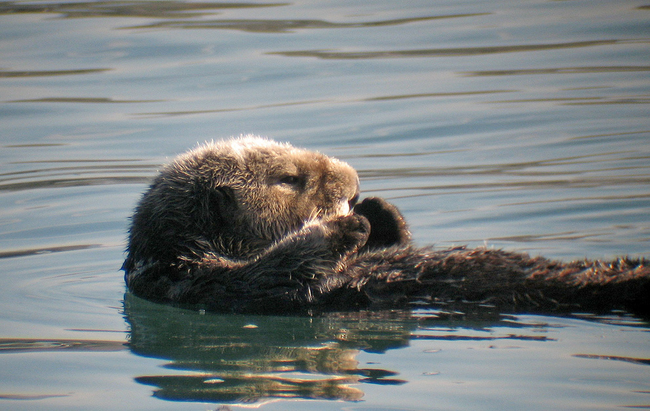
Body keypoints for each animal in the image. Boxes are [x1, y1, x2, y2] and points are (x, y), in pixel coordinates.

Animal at [123, 137, 648, 318]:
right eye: (289, 179)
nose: (355, 186)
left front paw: (379, 211)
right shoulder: (202, 282)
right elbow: (277, 270)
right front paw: (348, 225)